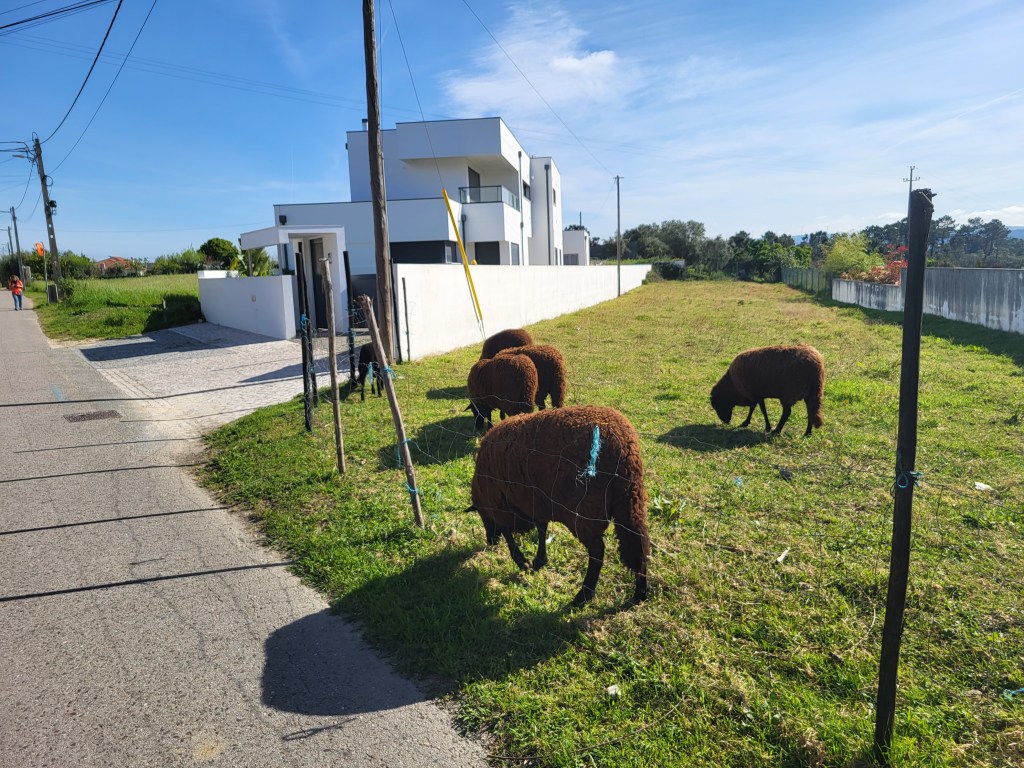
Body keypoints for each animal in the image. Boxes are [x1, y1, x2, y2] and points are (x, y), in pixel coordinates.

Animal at [468, 405, 650, 606]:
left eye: (482, 515)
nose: (491, 541)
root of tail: (622, 445)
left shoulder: (501, 507)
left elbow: (510, 536)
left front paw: (523, 562)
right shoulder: (539, 502)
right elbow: (542, 530)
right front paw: (539, 561)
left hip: (585, 511)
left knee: (598, 551)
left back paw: (584, 594)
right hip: (631, 501)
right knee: (638, 545)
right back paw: (640, 592)